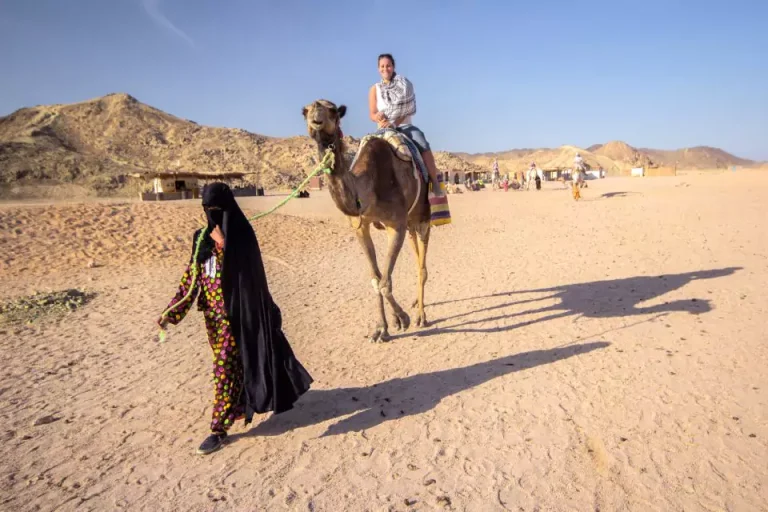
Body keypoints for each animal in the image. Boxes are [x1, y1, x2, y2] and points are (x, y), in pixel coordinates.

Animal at [302, 99, 432, 342]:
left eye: (333, 111)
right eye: (304, 111)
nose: (316, 120)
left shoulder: (396, 225)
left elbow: (385, 283)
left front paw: (403, 318)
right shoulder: (361, 228)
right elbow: (376, 279)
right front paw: (383, 328)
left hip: (423, 216)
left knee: (422, 267)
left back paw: (421, 316)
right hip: (410, 222)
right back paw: (414, 304)